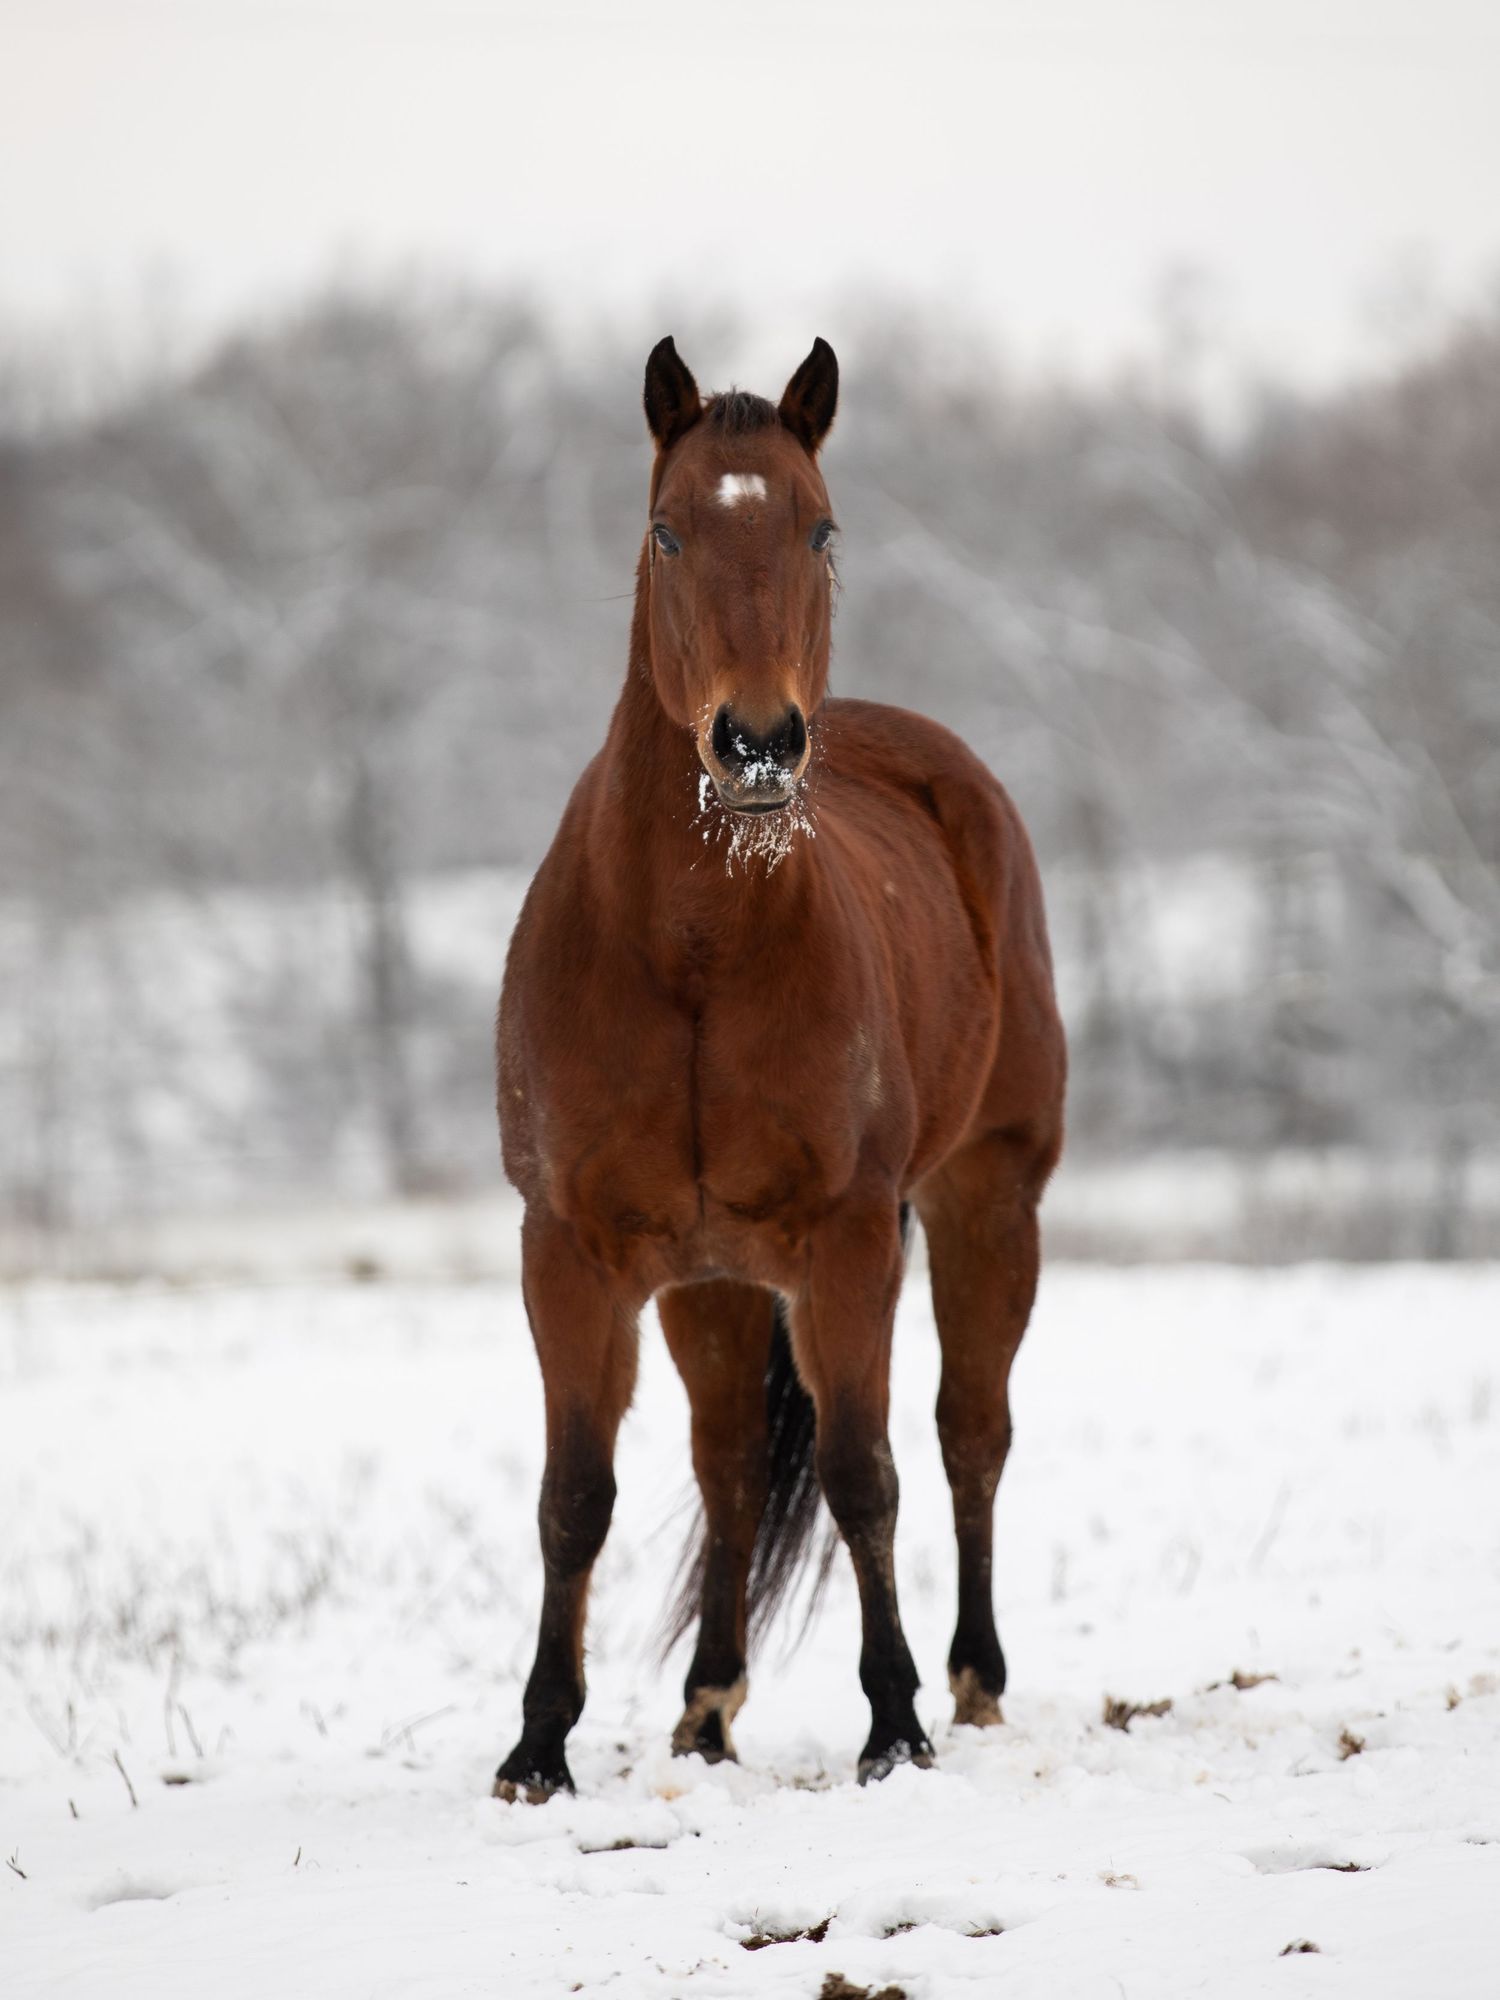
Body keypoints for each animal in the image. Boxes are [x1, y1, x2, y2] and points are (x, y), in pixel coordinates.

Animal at [493, 336, 1066, 1800]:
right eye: (667, 528)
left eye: (820, 526)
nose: (757, 743)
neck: (691, 949)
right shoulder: (569, 1249)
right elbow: (574, 1497)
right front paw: (537, 1746)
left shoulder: (850, 1239)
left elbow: (867, 1472)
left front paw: (895, 1723)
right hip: (712, 1282)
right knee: (733, 1466)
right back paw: (706, 1708)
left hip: (987, 1204)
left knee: (970, 1432)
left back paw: (973, 1682)